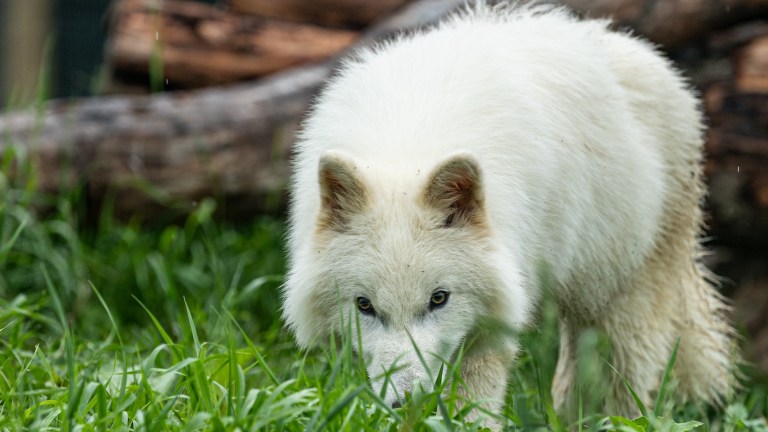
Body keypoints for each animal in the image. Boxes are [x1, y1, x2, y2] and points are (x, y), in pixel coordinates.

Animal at [282, 2, 735, 421]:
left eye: (439, 299)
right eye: (365, 306)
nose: (407, 402)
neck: (405, 147)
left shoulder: (492, 325)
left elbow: (475, 403)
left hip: (619, 297)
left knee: (621, 384)